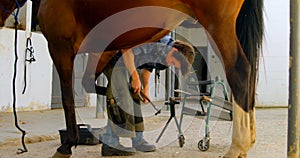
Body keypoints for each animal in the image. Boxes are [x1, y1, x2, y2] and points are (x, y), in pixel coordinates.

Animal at [0, 0, 262, 157]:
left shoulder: (60, 47)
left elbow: (68, 100)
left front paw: (67, 145)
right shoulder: (102, 50)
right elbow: (94, 85)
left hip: (218, 25)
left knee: (240, 71)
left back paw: (237, 146)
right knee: (249, 73)